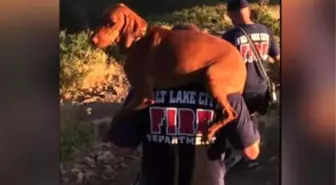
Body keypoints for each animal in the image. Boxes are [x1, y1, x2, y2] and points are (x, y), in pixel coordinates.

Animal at [92, 3, 247, 140]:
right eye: (100, 20)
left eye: (112, 23)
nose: (92, 40)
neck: (137, 40)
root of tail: (241, 64)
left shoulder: (144, 97)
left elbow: (119, 114)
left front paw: (106, 132)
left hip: (211, 75)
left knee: (231, 113)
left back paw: (211, 130)